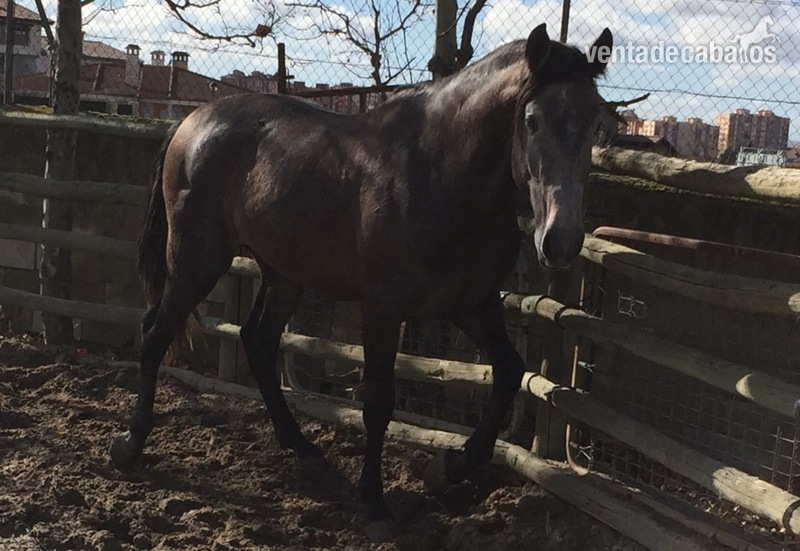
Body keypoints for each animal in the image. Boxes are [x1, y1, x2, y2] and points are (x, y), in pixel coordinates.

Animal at [110, 23, 612, 541]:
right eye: (532, 121)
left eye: (597, 122)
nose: (561, 241)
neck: (442, 176)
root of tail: (191, 123)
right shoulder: (384, 309)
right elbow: (377, 400)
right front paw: (373, 502)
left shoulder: (470, 303)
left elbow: (509, 371)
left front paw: (445, 469)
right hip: (198, 260)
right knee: (156, 333)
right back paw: (130, 445)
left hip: (284, 274)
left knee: (257, 341)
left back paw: (307, 453)